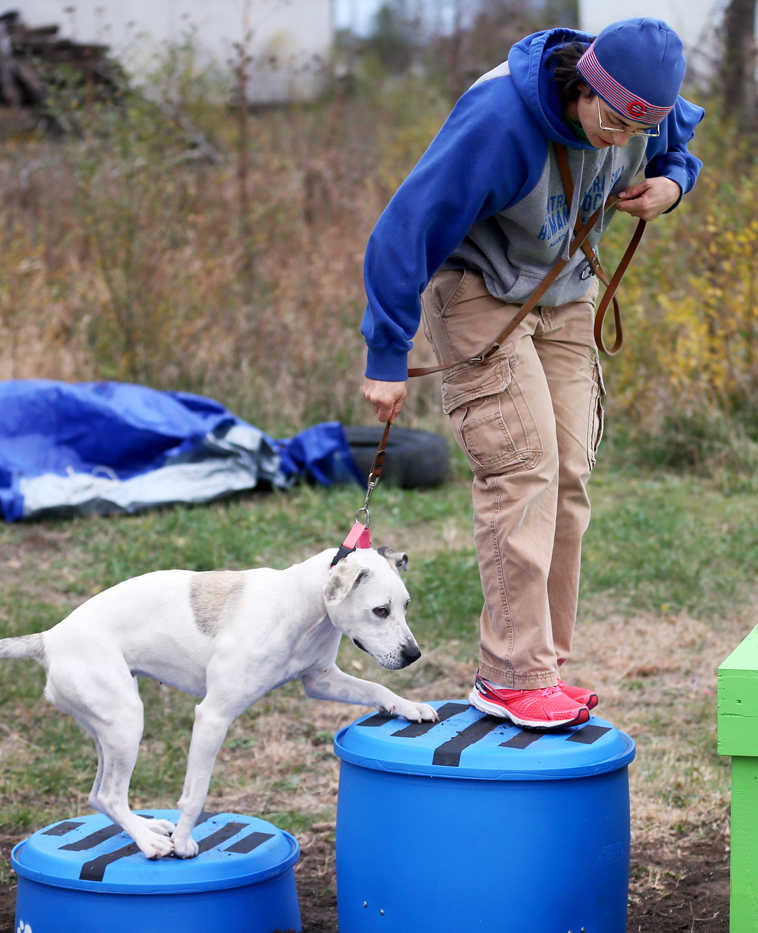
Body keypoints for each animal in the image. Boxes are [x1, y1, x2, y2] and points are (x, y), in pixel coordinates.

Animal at [0, 548, 436, 860]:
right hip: (125, 723)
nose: (413, 655)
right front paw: (185, 842)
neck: (301, 606)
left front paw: (409, 706)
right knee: (109, 794)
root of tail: (49, 638)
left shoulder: (321, 681)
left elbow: (375, 688)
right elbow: (196, 792)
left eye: (406, 605)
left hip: (108, 729)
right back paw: (152, 843)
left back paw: (149, 829)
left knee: (98, 795)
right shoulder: (213, 716)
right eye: (380, 610)